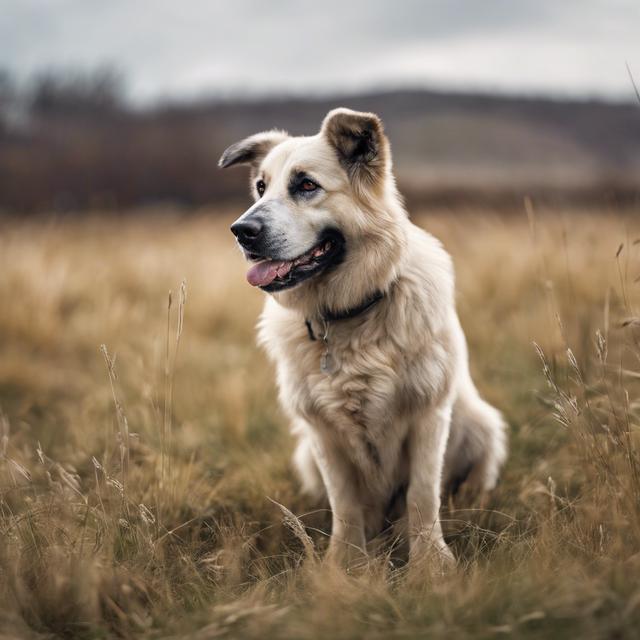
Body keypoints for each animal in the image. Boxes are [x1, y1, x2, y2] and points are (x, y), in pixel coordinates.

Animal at [219, 107, 504, 568]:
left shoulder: (428, 416)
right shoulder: (322, 433)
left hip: (483, 426)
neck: (350, 314)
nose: (241, 231)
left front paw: (431, 564)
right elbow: (345, 505)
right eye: (260, 187)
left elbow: (423, 496)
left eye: (306, 185)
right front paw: (345, 565)